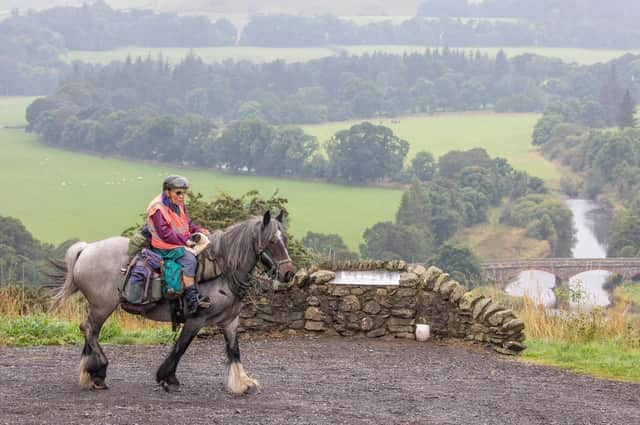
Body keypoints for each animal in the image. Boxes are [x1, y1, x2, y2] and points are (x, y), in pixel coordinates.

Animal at [52, 210, 298, 392]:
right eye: (271, 241)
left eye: (284, 239)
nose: (288, 273)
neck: (223, 269)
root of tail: (85, 249)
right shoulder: (196, 319)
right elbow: (181, 346)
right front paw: (167, 378)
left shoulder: (230, 321)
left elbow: (234, 350)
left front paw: (242, 382)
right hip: (103, 306)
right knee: (89, 329)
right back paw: (100, 370)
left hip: (98, 307)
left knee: (90, 331)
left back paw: (93, 374)